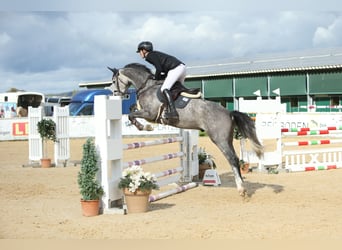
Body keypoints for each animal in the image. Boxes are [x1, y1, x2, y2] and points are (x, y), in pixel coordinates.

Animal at [108, 62, 264, 195]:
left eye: (114, 81)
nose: (115, 94)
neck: (147, 86)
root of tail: (229, 113)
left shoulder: (149, 113)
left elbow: (131, 115)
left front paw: (145, 127)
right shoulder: (145, 111)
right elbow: (131, 109)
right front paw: (143, 125)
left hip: (219, 139)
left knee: (232, 159)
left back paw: (241, 189)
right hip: (227, 138)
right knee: (234, 159)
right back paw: (242, 186)